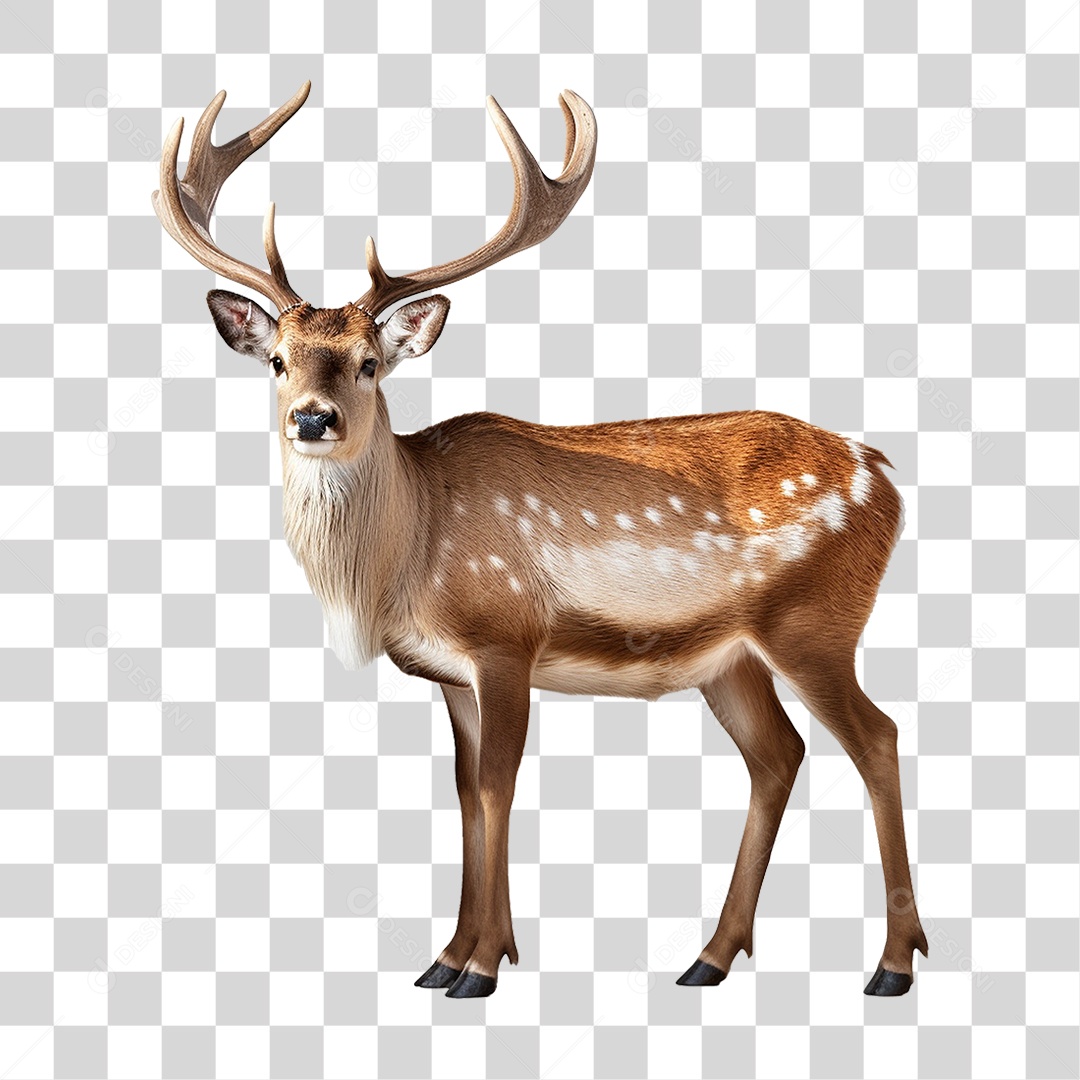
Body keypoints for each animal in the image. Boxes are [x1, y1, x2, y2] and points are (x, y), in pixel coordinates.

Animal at [153, 81, 929, 999]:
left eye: (370, 363)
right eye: (277, 359)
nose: (313, 418)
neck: (409, 553)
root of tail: (885, 476)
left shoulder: (505, 637)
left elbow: (497, 787)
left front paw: (482, 967)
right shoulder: (447, 672)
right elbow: (463, 793)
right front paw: (446, 957)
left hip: (815, 623)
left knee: (877, 738)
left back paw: (892, 965)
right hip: (730, 657)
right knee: (778, 754)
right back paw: (708, 957)